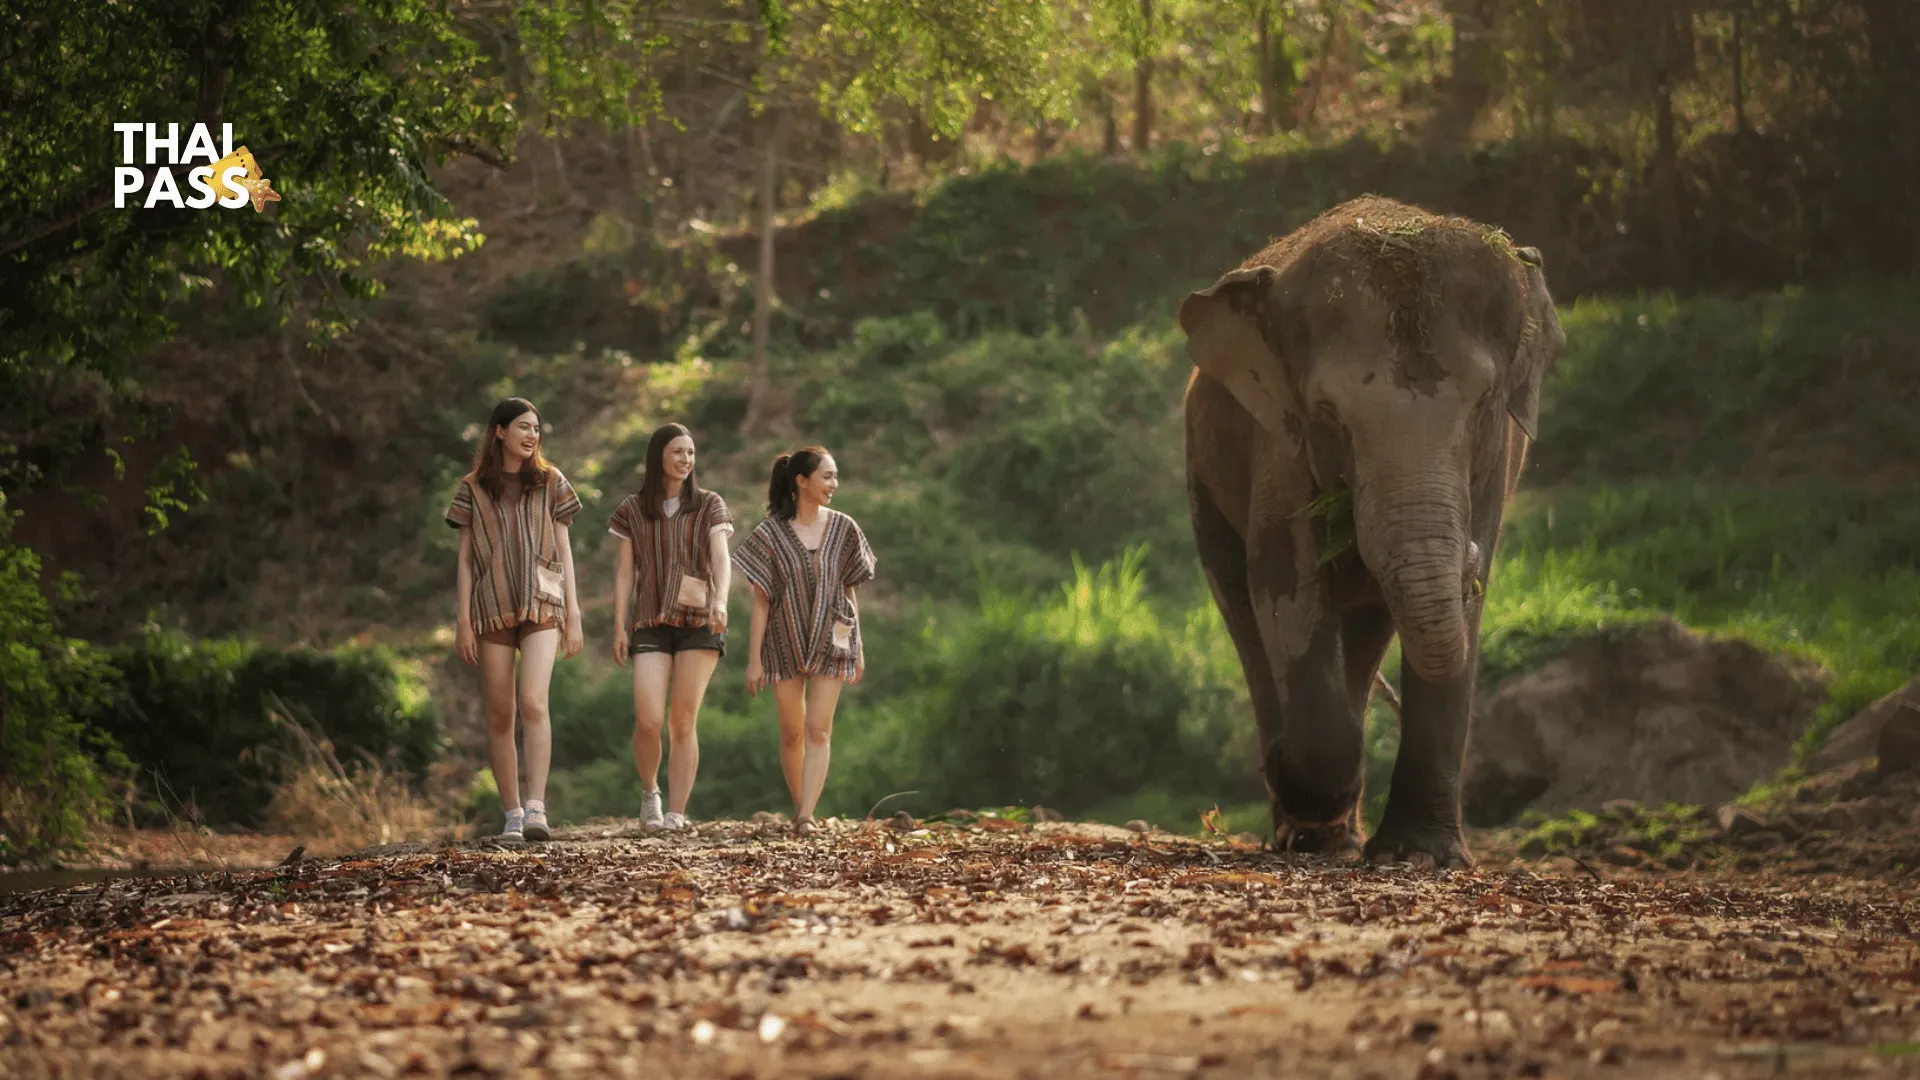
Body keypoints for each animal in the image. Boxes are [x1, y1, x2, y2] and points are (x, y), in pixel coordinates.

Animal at [1175, 193, 1566, 864]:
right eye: (1328, 413)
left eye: (1484, 403)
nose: (1465, 556)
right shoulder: (1280, 444)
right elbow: (1285, 586)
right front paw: (1301, 790)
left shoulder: (1500, 460)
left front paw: (1420, 857)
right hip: (1203, 475)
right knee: (1242, 608)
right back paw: (1307, 824)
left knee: (1366, 628)